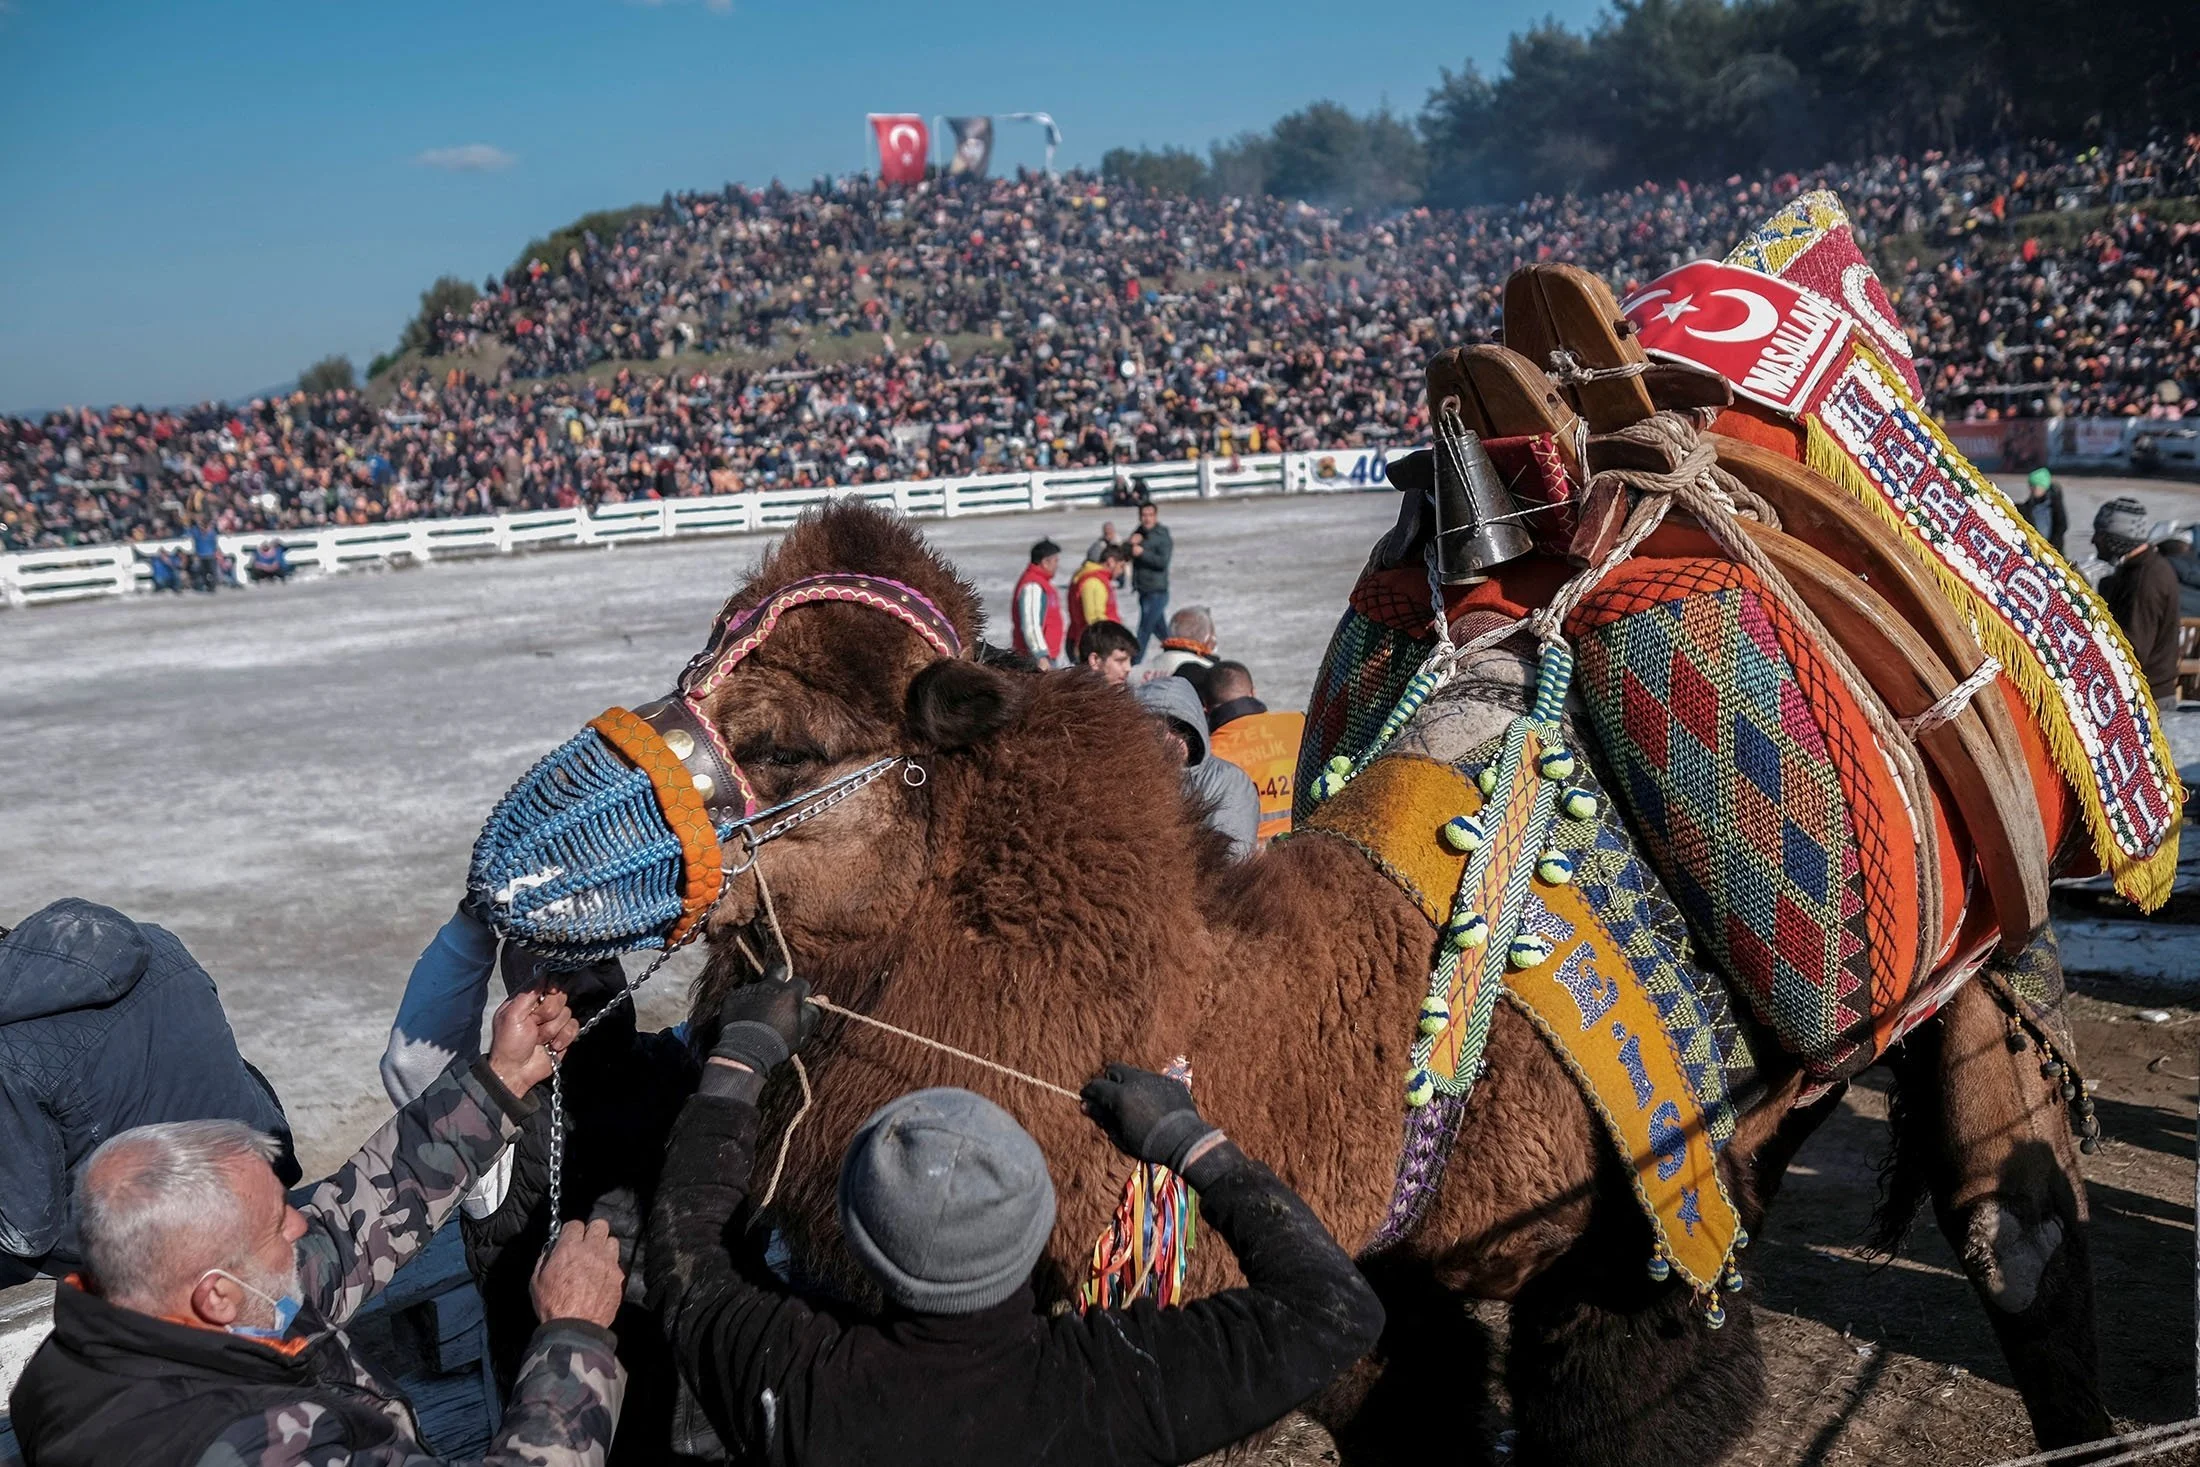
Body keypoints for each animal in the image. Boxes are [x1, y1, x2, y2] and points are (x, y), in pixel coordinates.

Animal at [644, 498, 2107, 1467]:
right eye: (687, 671)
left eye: (784, 744)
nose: (606, 780)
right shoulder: (1386, 1283)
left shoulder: (1642, 1227)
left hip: (1986, 953)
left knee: (2015, 1225)